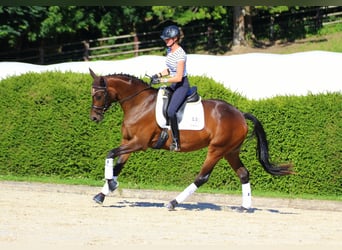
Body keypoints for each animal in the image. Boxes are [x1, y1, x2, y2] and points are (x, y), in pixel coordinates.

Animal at [89, 68, 292, 211]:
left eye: (98, 95)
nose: (94, 118)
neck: (140, 103)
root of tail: (240, 114)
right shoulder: (128, 142)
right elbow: (117, 166)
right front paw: (102, 194)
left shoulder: (139, 143)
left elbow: (110, 154)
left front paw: (111, 183)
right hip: (230, 152)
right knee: (243, 174)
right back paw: (245, 207)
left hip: (217, 150)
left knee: (202, 177)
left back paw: (173, 202)